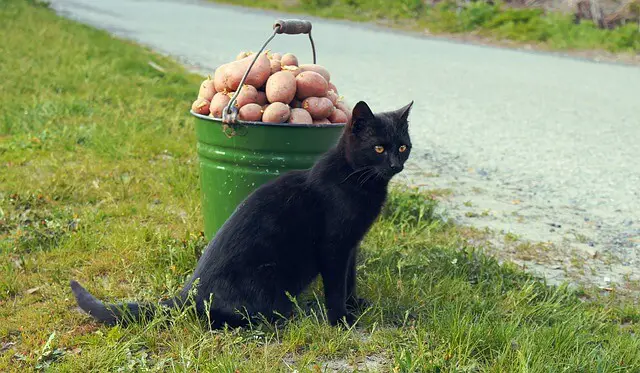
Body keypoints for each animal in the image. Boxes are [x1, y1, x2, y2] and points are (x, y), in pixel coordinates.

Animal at [70, 99, 412, 328]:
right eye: (379, 148)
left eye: (402, 147)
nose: (396, 164)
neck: (357, 180)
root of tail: (188, 293)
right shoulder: (334, 247)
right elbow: (336, 285)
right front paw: (341, 320)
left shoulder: (351, 246)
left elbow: (350, 279)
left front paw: (355, 305)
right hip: (269, 281)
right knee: (218, 318)